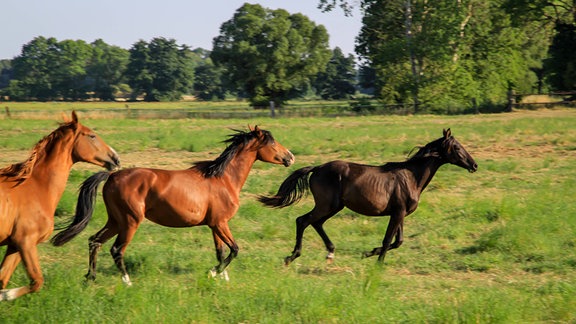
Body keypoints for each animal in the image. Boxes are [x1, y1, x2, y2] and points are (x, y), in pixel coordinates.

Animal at [0, 112, 119, 302]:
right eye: (92, 135)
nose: (116, 158)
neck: (35, 187)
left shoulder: (14, 245)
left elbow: (3, 278)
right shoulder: (25, 242)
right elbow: (37, 281)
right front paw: (6, 295)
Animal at [51, 125, 294, 284]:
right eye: (272, 142)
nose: (290, 157)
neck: (223, 179)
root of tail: (112, 175)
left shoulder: (215, 225)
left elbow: (221, 251)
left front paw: (221, 277)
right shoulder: (220, 223)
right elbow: (234, 249)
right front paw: (213, 273)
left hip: (115, 220)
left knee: (95, 241)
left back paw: (90, 277)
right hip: (130, 222)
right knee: (116, 249)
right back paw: (127, 281)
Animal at [260, 129, 476, 266]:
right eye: (457, 148)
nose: (474, 165)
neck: (411, 177)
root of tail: (318, 168)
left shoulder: (400, 213)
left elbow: (398, 241)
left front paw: (368, 253)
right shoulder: (398, 213)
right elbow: (388, 239)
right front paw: (378, 263)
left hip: (334, 207)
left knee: (316, 223)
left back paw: (330, 252)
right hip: (327, 205)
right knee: (303, 220)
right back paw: (292, 257)